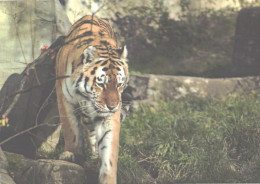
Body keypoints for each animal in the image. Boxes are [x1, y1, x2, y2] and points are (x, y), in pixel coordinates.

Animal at [55, 15, 128, 184]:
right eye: (101, 83)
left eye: (119, 84)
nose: (112, 106)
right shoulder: (64, 99)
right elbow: (71, 131)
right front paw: (72, 155)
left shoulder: (109, 116)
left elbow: (109, 150)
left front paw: (108, 177)